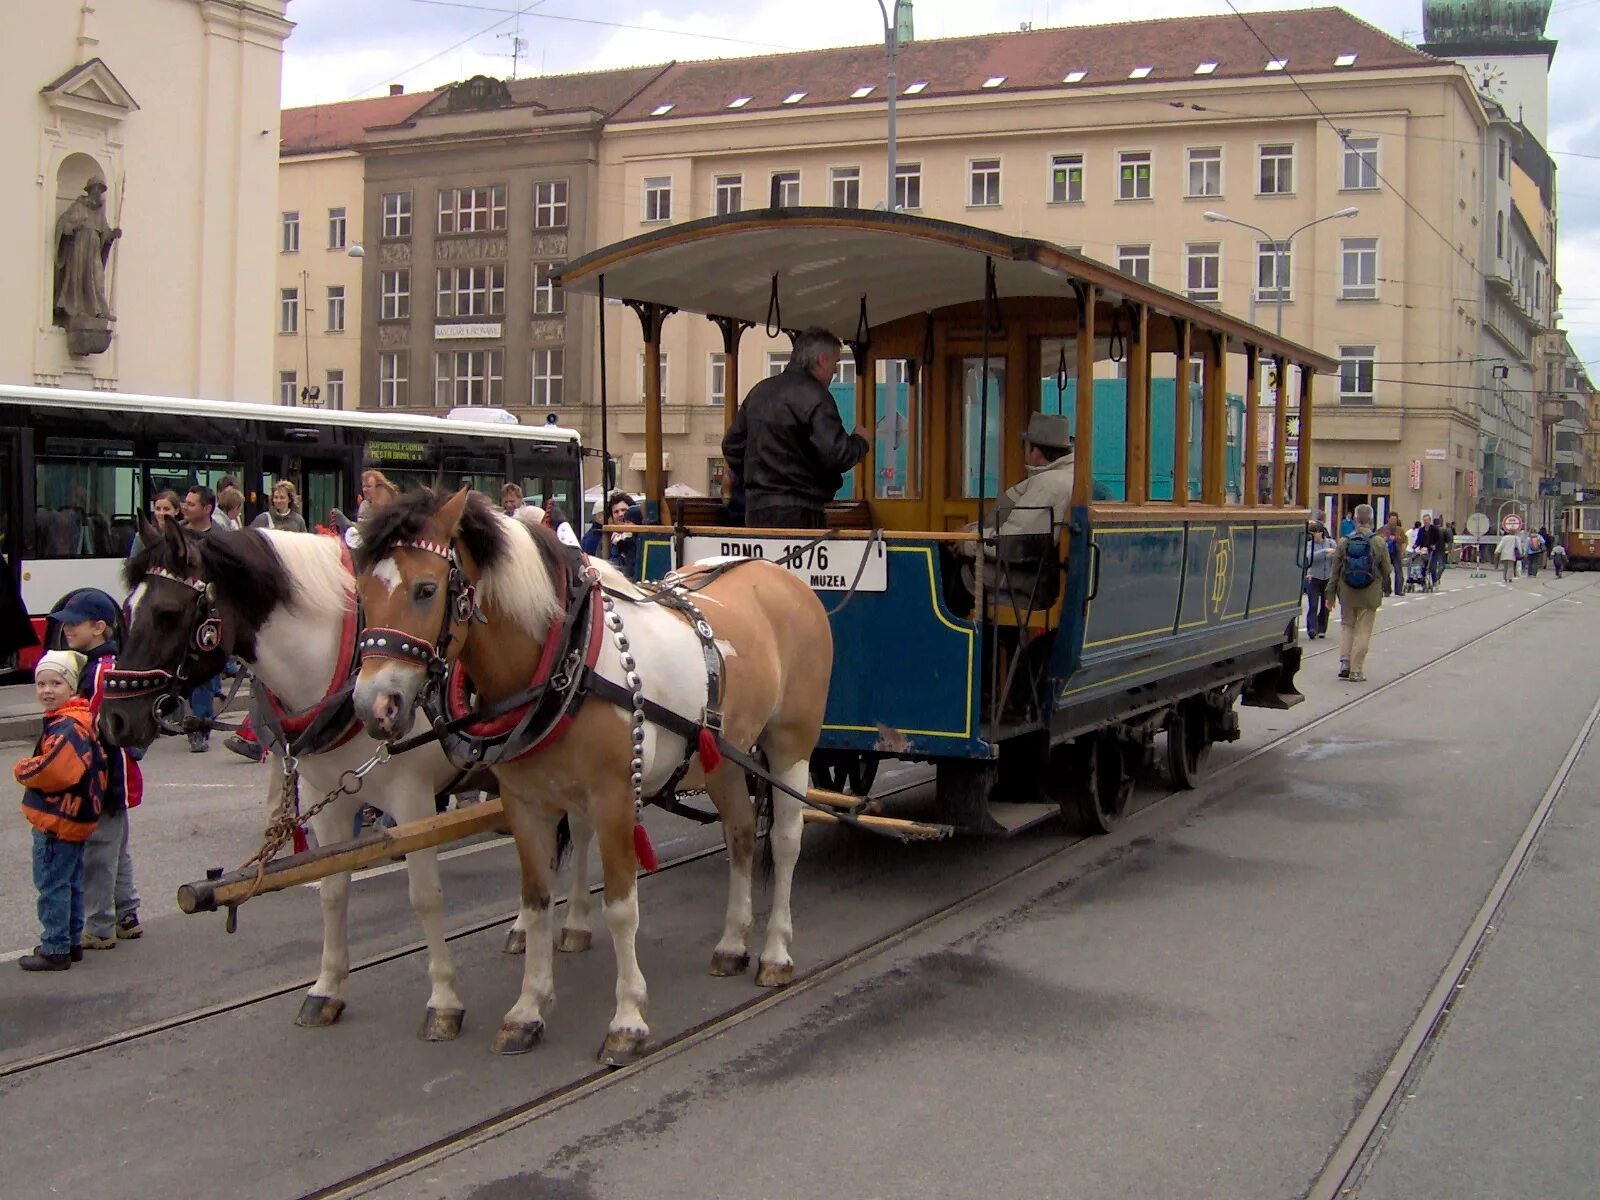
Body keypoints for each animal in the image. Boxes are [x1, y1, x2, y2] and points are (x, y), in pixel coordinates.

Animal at [345, 489, 832, 1062]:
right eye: (360, 591)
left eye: (425, 589)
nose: (374, 706)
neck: (566, 658)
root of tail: (779, 575)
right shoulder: (525, 805)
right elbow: (535, 903)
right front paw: (527, 1010)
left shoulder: (614, 798)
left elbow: (621, 906)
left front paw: (627, 1020)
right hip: (724, 756)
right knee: (739, 834)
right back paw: (732, 943)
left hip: (790, 745)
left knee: (784, 840)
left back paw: (775, 951)